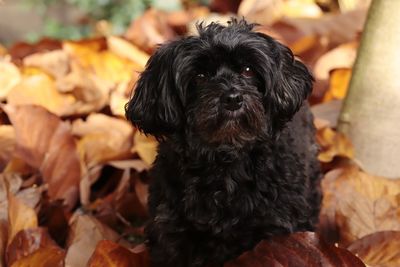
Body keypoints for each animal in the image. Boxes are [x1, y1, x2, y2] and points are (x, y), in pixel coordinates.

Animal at [125, 19, 322, 267]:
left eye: (248, 70)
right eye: (199, 76)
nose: (232, 98)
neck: (226, 159)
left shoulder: (276, 230)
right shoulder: (170, 231)